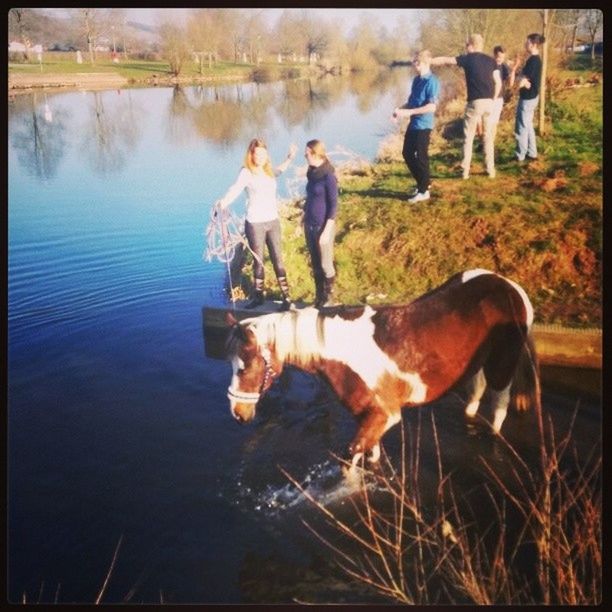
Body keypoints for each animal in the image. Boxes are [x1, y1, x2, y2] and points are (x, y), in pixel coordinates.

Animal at [224, 268, 540, 474]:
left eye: (244, 367)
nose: (238, 415)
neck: (344, 349)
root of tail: (510, 286)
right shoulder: (367, 417)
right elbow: (371, 454)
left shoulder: (385, 415)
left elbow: (349, 460)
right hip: (476, 365)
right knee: (477, 391)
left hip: (502, 364)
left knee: (499, 403)